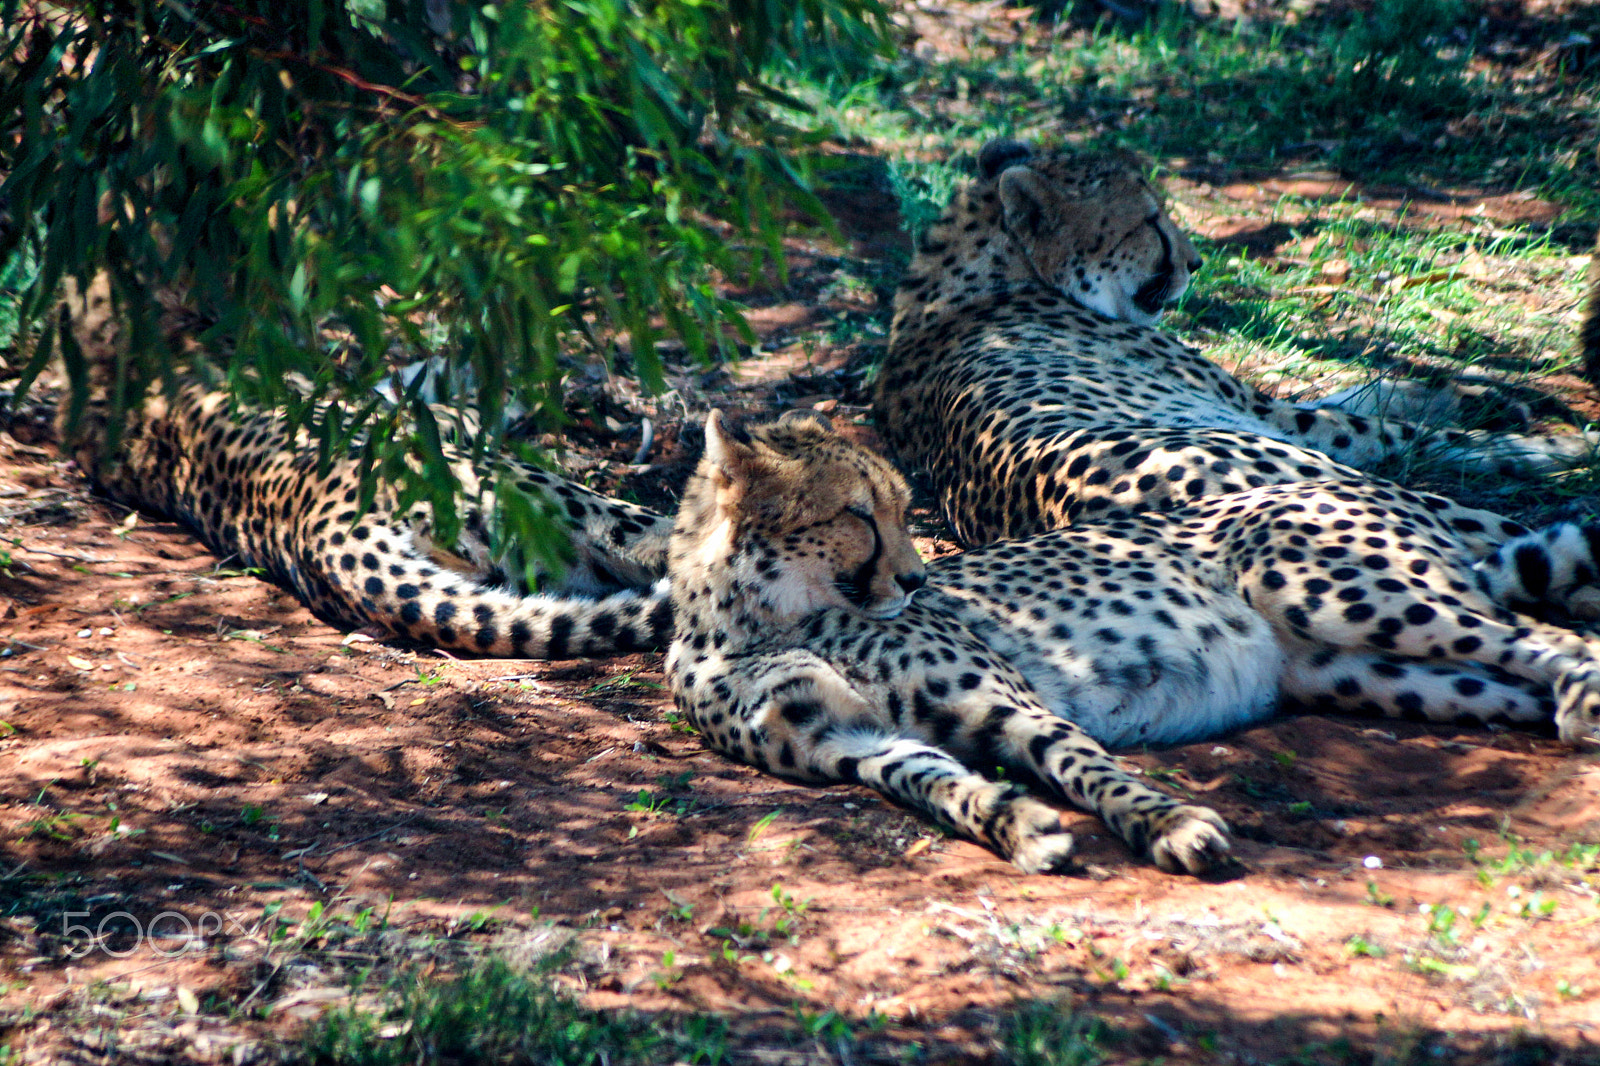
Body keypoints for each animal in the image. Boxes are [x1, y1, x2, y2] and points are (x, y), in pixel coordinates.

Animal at [662, 408, 1600, 870]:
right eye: (859, 515)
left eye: (899, 508)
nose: (919, 579)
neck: (751, 620)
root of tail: (1375, 487)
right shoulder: (850, 740)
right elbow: (939, 785)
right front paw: (1016, 826)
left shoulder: (1005, 700)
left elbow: (1086, 765)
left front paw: (1170, 825)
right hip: (1369, 671)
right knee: (1518, 676)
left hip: (1332, 590)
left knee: (1552, 639)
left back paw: (1585, 698)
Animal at [876, 136, 1600, 544]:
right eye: (1150, 222)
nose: (1196, 264)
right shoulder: (1273, 416)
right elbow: (1402, 426)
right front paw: (1531, 428)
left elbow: (1366, 388)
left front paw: (1476, 393)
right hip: (1365, 490)